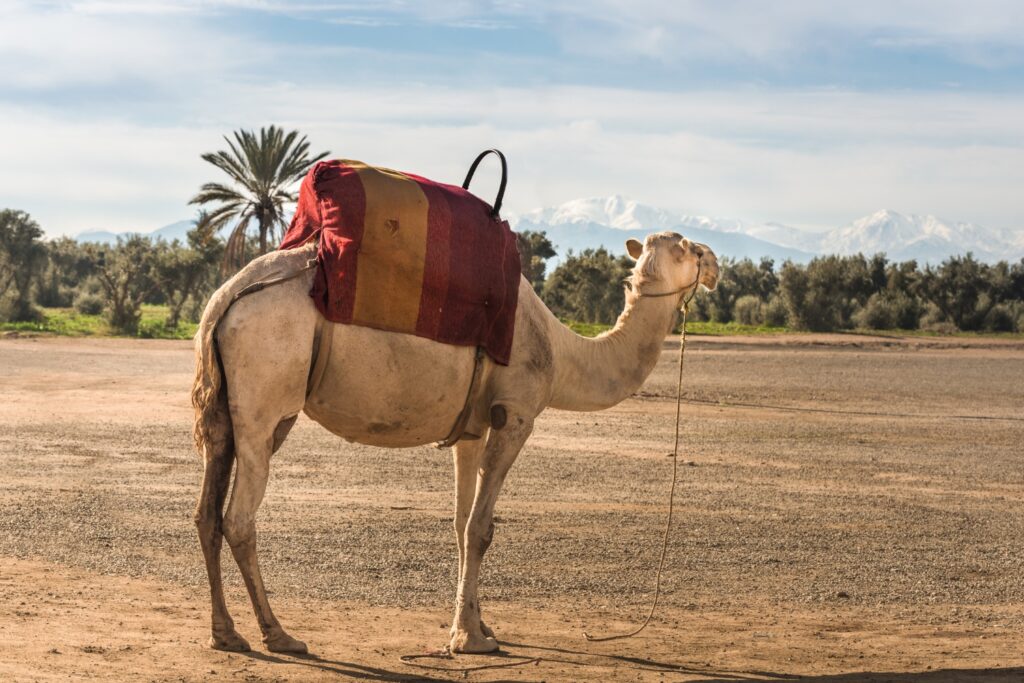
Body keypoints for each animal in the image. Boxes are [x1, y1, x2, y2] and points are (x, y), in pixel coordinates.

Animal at [192, 230, 719, 655]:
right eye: (691, 248)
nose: (715, 264)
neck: (562, 351)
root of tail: (224, 299)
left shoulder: (472, 428)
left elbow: (461, 524)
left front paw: (479, 626)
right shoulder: (515, 416)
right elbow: (482, 529)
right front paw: (469, 640)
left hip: (230, 413)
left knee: (207, 512)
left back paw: (226, 633)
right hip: (265, 399)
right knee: (239, 518)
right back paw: (278, 634)